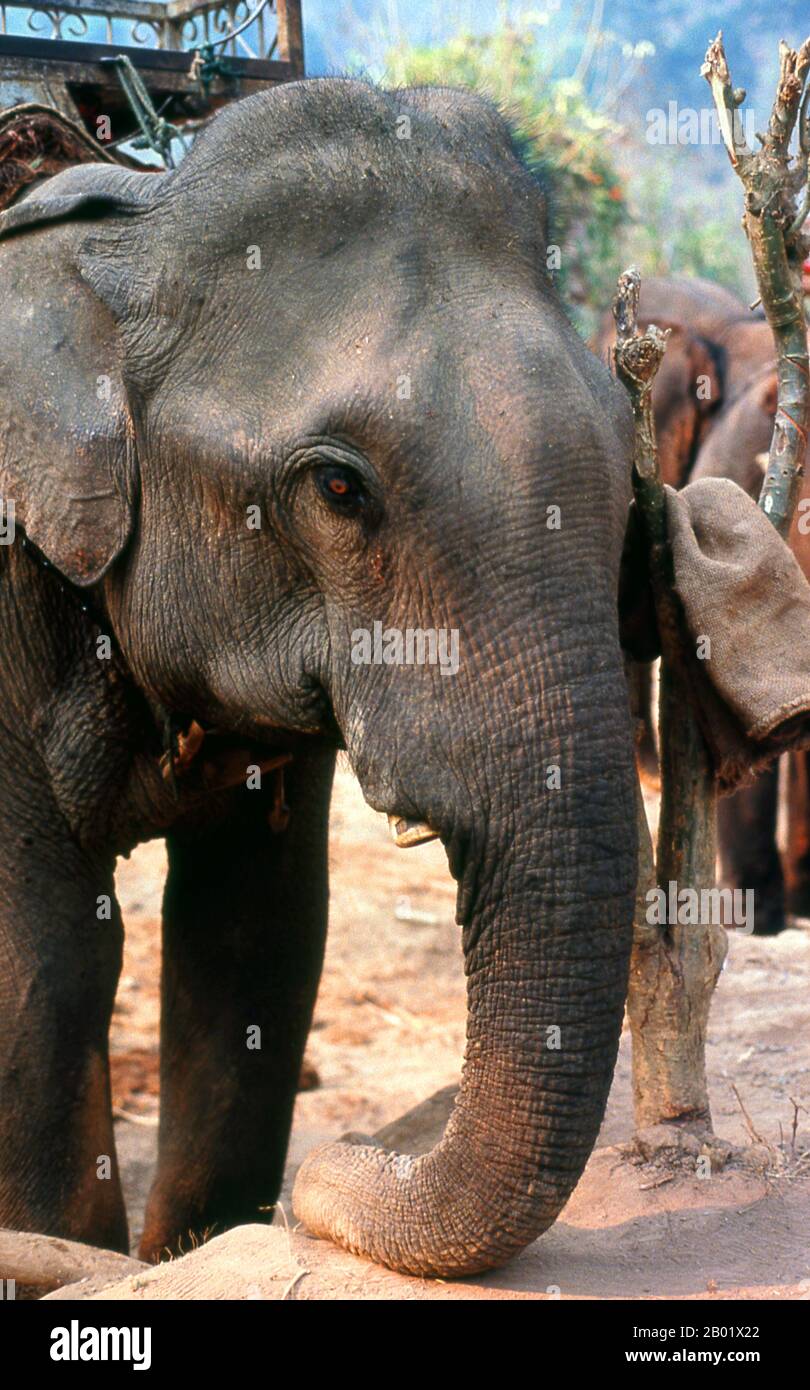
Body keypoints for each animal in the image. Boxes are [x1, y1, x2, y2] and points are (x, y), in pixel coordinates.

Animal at [0, 79, 641, 1278]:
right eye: (340, 488)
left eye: (633, 452)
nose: (342, 1164)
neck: (128, 218)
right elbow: (45, 957)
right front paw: (66, 1251)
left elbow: (255, 935)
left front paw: (201, 1244)